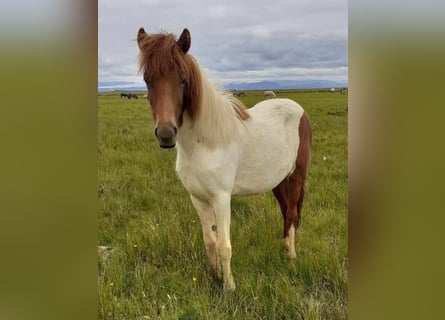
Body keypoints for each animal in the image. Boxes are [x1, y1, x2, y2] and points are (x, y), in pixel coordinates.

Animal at [137, 28, 310, 292]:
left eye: (183, 79)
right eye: (148, 79)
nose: (166, 134)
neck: (204, 143)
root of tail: (300, 110)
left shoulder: (221, 198)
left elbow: (223, 245)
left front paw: (229, 288)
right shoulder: (198, 198)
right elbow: (209, 241)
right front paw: (215, 276)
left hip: (297, 175)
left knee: (291, 214)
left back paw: (291, 258)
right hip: (278, 181)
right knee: (285, 212)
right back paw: (284, 251)